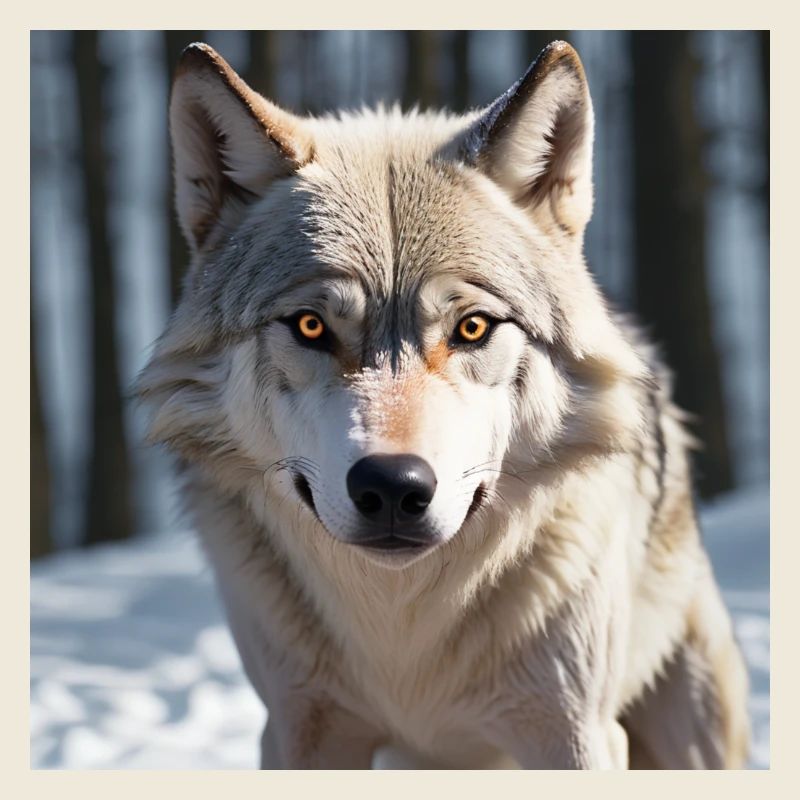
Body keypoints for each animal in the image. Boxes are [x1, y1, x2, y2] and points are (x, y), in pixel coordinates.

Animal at [138, 40, 750, 768]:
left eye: (473, 327)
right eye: (311, 327)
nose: (392, 487)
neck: (404, 634)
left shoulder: (575, 733)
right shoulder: (299, 729)